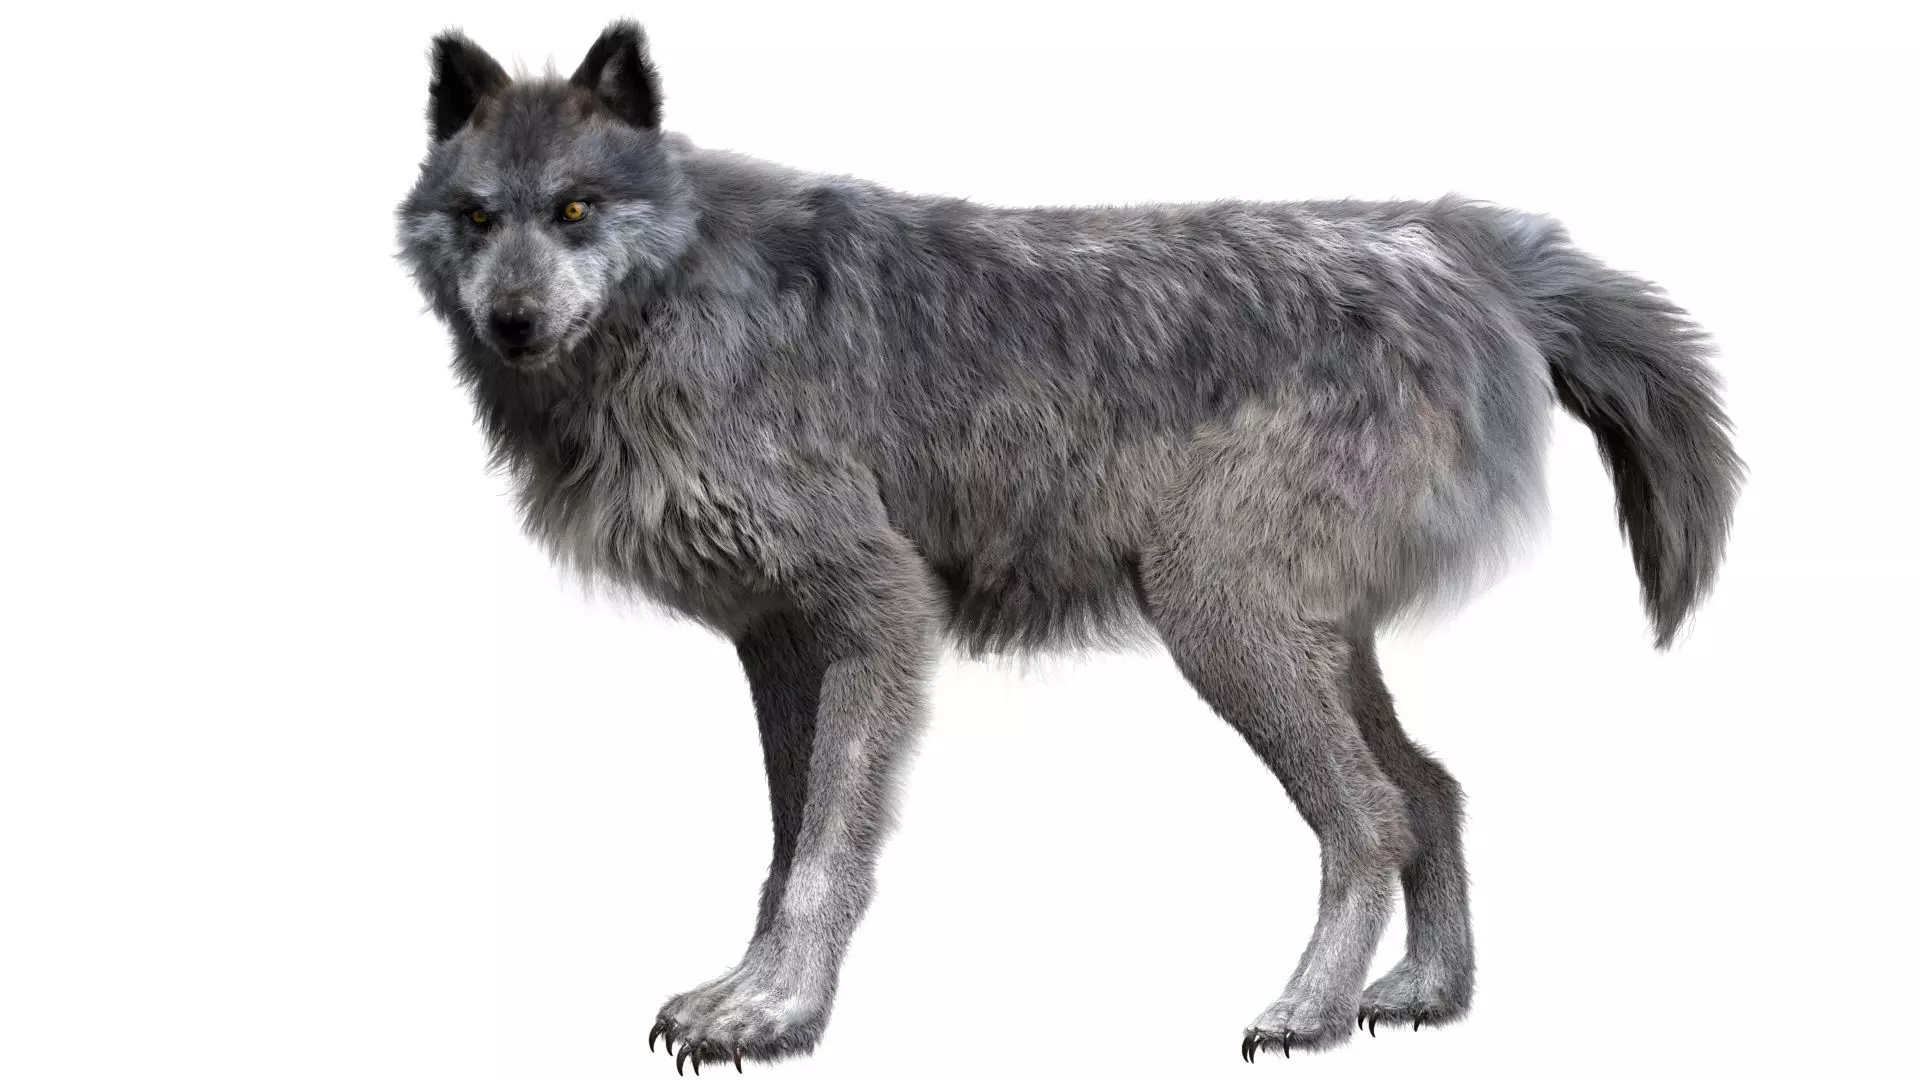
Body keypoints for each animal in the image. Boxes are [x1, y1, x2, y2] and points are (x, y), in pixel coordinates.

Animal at [397, 20, 1741, 1071]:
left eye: (576, 210)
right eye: (477, 217)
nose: (511, 322)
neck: (686, 311)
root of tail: (1463, 241)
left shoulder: (879, 614)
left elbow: (828, 851)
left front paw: (779, 1016)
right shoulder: (777, 642)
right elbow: (783, 846)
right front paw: (748, 993)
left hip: (1219, 624)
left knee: (1369, 815)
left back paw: (1308, 1013)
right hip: (1305, 641)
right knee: (1433, 792)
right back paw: (1419, 998)